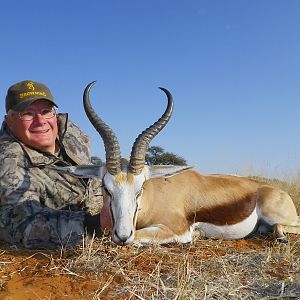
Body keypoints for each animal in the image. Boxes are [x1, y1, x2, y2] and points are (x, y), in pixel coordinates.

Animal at [50, 81, 300, 245]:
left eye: (140, 188)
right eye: (106, 188)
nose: (122, 235)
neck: (154, 198)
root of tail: (271, 190)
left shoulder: (177, 230)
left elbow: (140, 237)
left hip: (277, 216)